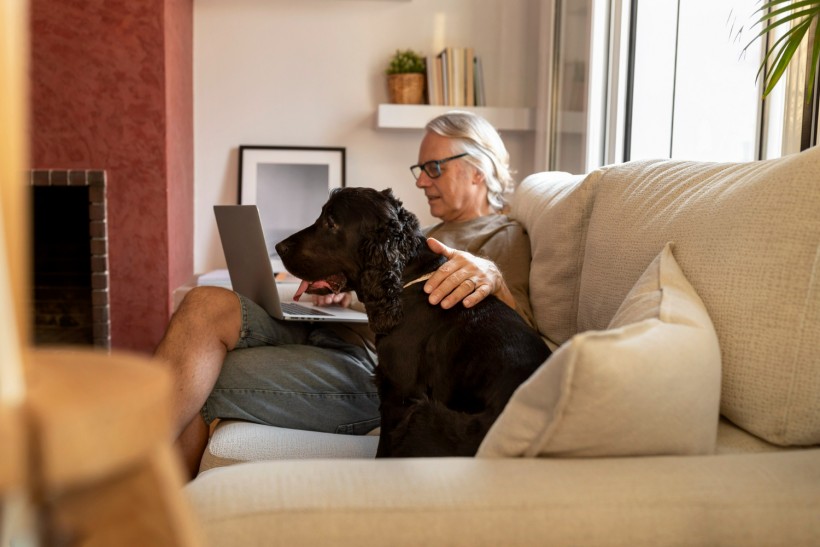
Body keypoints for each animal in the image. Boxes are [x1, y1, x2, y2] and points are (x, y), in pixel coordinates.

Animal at [276, 188, 552, 458]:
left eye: (331, 223)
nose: (279, 247)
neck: (406, 283)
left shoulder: (398, 395)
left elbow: (384, 450)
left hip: (424, 417)